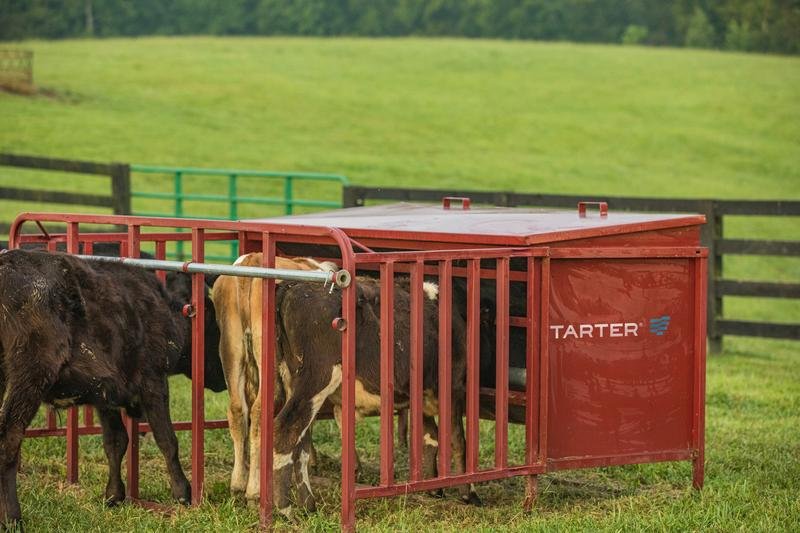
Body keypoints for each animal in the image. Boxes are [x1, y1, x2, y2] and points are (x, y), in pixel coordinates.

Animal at [0, 249, 224, 526]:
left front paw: (114, 495)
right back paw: (12, 517)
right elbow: (166, 439)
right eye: (212, 319)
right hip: (29, 379)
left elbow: (115, 442)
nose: (223, 377)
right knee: (9, 439)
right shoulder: (153, 381)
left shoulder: (105, 393)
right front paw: (182, 492)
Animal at [211, 253, 338, 502]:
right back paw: (254, 490)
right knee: (260, 412)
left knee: (237, 410)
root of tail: (252, 259)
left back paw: (238, 483)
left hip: (230, 348)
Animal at [270, 276, 481, 517]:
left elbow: (431, 438)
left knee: (302, 443)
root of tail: (292, 286)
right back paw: (286, 508)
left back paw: (308, 505)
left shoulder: (424, 394)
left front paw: (433, 488)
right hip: (316, 377)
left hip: (292, 380)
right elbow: (458, 440)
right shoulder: (453, 388)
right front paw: (469, 493)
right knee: (286, 430)